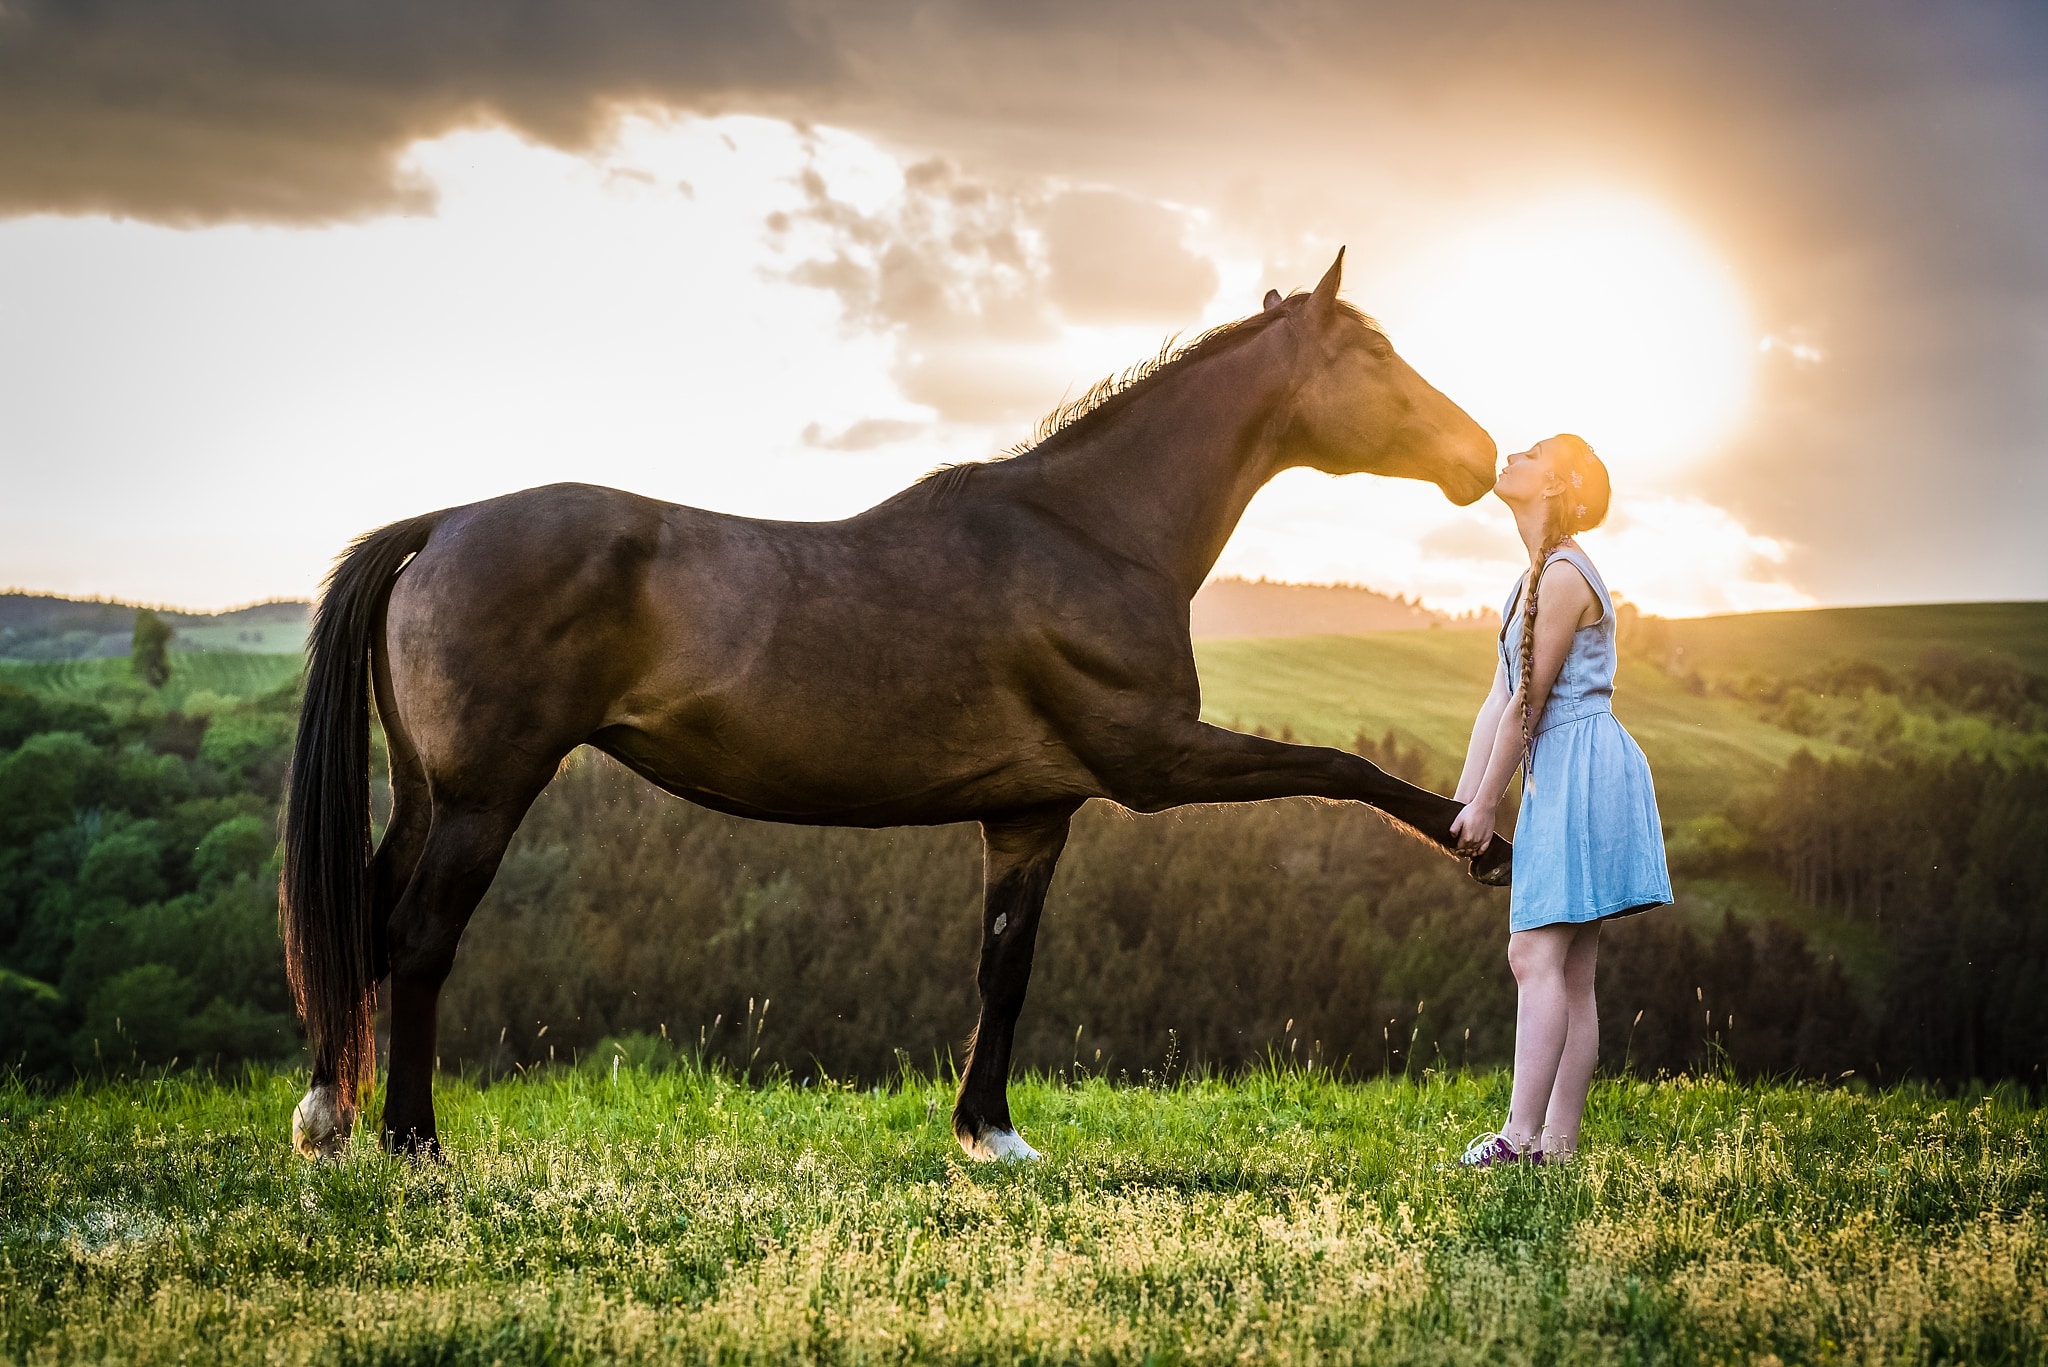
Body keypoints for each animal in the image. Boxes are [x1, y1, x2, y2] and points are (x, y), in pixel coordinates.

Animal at [282, 249, 1510, 1163]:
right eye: (1376, 354)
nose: (1482, 453)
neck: (1087, 531)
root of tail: (443, 524)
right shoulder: (1159, 761)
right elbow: (1342, 767)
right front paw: (1479, 842)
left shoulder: (1033, 814)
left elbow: (1003, 969)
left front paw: (990, 1132)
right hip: (486, 796)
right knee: (419, 936)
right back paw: (411, 1142)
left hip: (428, 793)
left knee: (364, 921)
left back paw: (328, 1119)